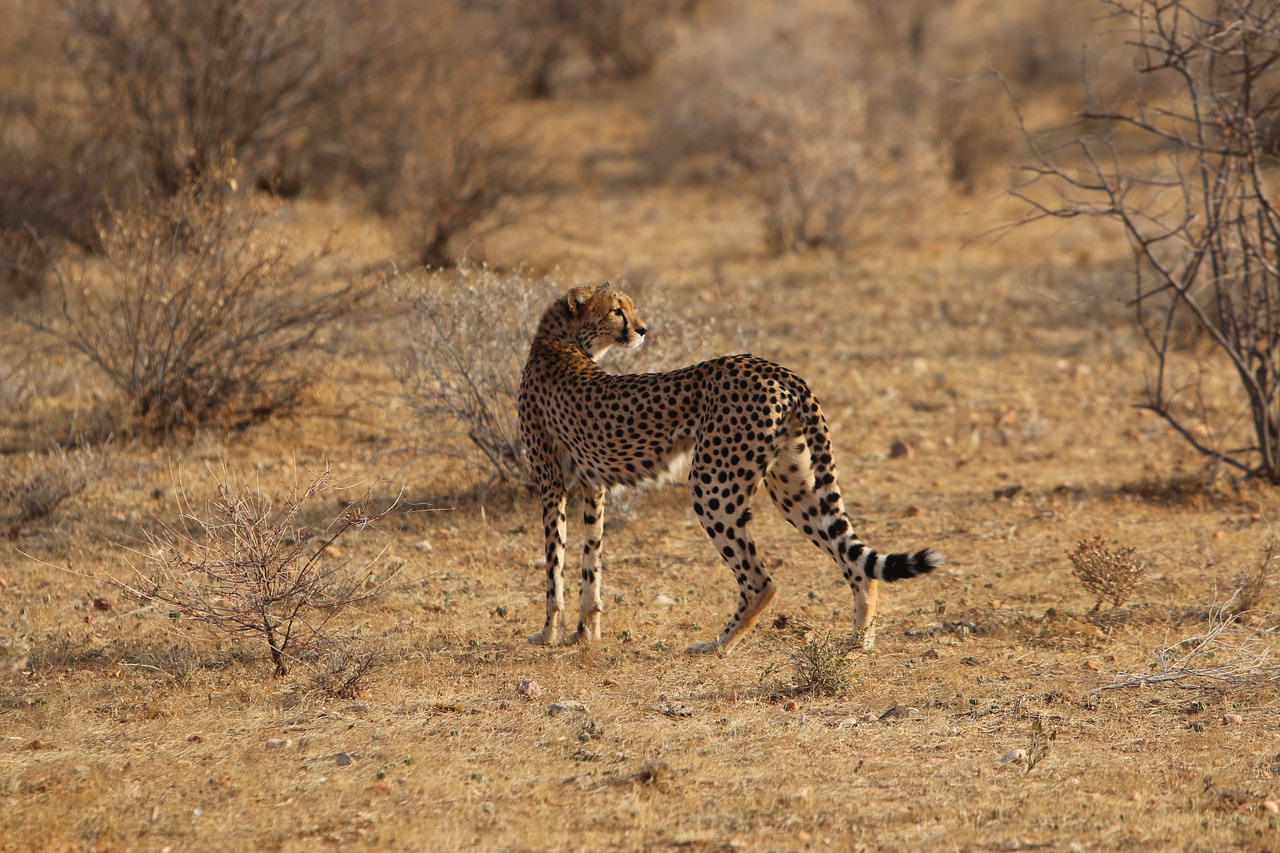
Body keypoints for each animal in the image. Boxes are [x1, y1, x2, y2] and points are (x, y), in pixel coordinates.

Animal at [514, 281, 947, 653]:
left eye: (628, 308)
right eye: (616, 310)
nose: (642, 329)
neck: (561, 339)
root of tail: (774, 367)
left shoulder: (551, 482)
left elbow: (554, 564)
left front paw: (549, 633)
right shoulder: (592, 486)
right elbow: (591, 563)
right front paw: (585, 632)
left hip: (712, 485)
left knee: (761, 580)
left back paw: (719, 643)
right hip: (793, 487)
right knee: (855, 561)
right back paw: (859, 641)